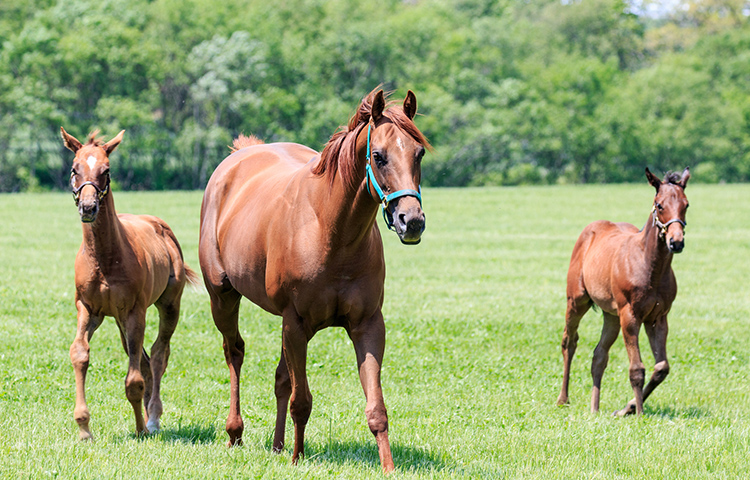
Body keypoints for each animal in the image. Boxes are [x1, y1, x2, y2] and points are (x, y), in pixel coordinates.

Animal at [61, 127, 199, 440]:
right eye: (75, 168)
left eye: (106, 170)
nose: (88, 207)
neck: (105, 258)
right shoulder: (88, 308)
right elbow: (80, 354)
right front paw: (83, 427)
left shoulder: (135, 311)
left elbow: (134, 378)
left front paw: (140, 428)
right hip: (119, 320)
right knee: (145, 358)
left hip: (168, 305)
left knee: (158, 355)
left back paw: (153, 418)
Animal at [199, 88, 429, 472]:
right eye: (378, 156)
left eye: (419, 153)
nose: (411, 221)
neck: (331, 231)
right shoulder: (296, 323)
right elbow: (301, 400)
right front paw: (297, 458)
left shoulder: (367, 325)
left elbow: (376, 408)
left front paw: (388, 467)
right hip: (224, 298)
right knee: (235, 353)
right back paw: (236, 433)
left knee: (280, 378)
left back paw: (277, 445)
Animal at [557, 167, 690, 416]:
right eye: (659, 205)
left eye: (686, 204)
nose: (675, 242)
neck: (650, 268)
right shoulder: (630, 315)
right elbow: (636, 368)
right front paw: (639, 414)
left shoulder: (658, 317)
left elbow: (661, 368)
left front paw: (627, 408)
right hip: (577, 301)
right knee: (569, 341)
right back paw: (563, 398)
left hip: (611, 315)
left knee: (599, 355)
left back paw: (594, 408)